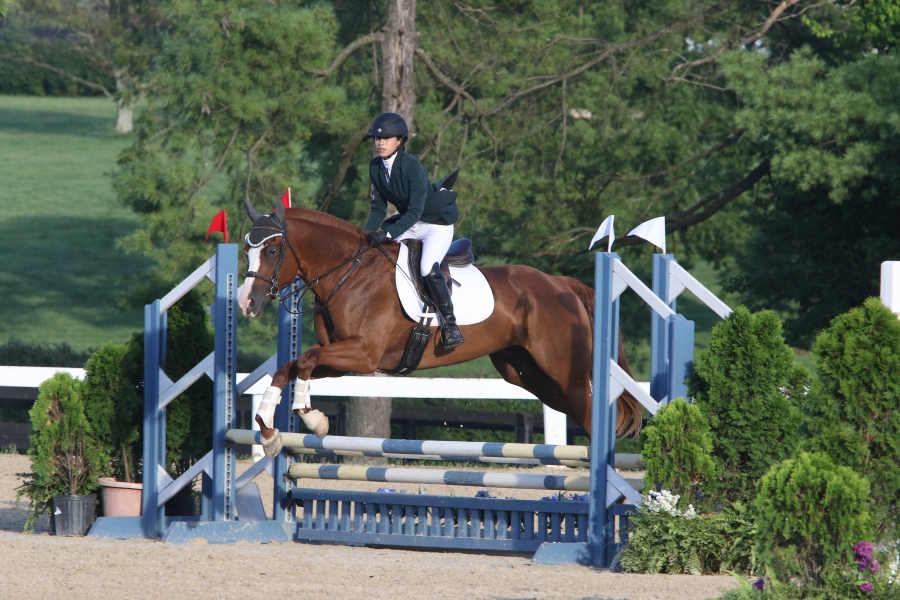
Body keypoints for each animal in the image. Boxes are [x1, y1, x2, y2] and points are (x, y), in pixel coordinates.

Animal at [236, 199, 636, 458]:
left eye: (272, 251)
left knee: (593, 413)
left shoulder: (363, 354)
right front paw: (268, 431)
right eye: (246, 251)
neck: (348, 272)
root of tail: (562, 284)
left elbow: (303, 362)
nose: (246, 303)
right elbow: (289, 367)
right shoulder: (343, 362)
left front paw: (312, 418)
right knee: (582, 410)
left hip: (563, 372)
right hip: (529, 375)